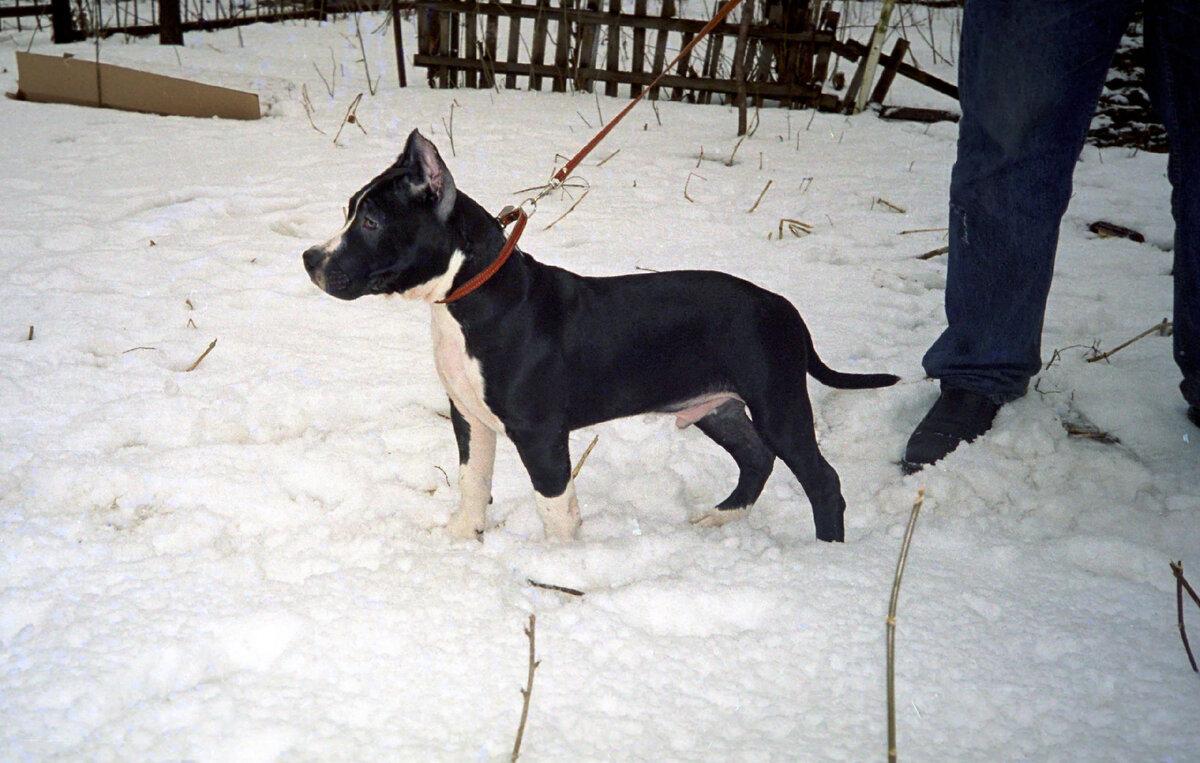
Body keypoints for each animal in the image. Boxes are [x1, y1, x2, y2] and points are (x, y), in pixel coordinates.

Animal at [304, 129, 897, 542]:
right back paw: (717, 519)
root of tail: (783, 307)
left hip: (777, 403)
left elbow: (553, 504)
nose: (309, 258)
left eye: (372, 223)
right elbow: (473, 482)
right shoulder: (469, 415)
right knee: (756, 459)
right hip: (717, 406)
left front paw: (562, 564)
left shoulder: (539, 432)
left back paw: (827, 554)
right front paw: (460, 537)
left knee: (822, 480)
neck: (467, 297)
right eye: (349, 212)